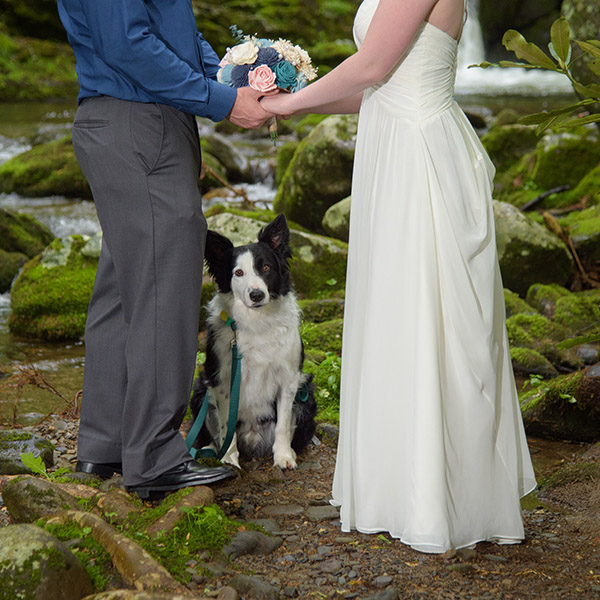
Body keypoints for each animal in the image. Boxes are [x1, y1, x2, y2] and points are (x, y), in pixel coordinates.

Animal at [192, 213, 316, 472]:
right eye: (238, 273)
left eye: (266, 268)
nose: (256, 295)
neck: (257, 321)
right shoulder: (221, 379)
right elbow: (225, 425)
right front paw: (229, 459)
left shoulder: (289, 378)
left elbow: (283, 424)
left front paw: (283, 456)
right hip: (200, 388)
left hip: (307, 391)